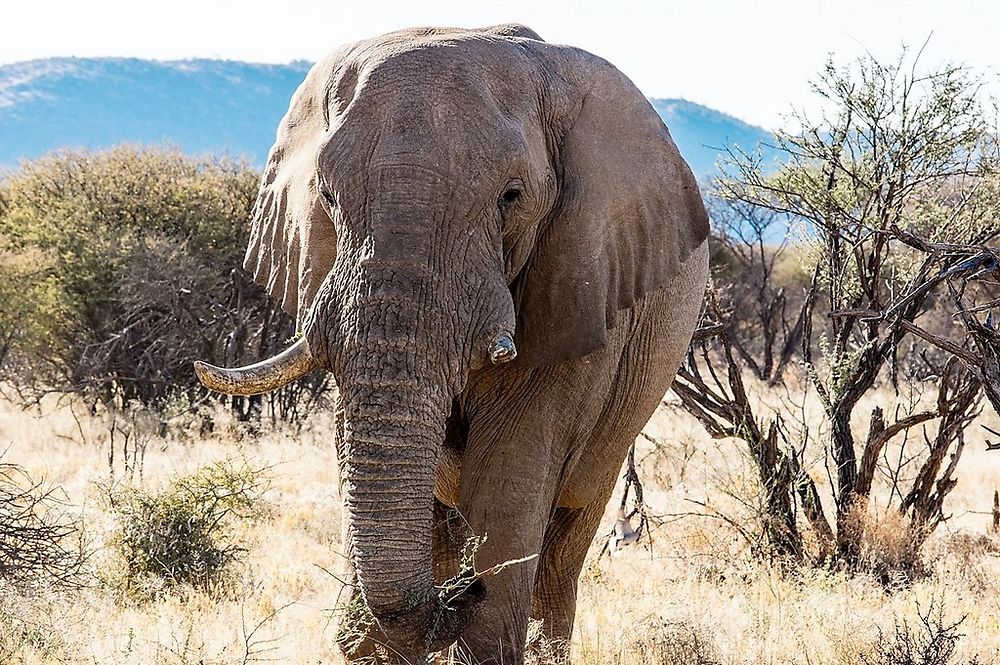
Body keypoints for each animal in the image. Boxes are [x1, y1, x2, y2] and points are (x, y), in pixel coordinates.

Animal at [195, 23, 712, 660]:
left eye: (512, 196)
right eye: (329, 198)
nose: (463, 593)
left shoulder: (579, 278)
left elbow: (516, 453)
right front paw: (371, 645)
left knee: (566, 539)